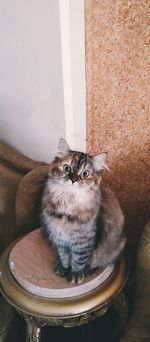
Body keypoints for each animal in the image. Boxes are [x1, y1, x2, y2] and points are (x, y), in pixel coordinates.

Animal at [40, 138, 125, 284]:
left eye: (85, 173)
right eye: (67, 168)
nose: (73, 180)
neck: (68, 202)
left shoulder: (83, 241)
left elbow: (79, 261)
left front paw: (76, 275)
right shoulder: (59, 237)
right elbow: (64, 257)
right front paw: (63, 269)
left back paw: (89, 270)